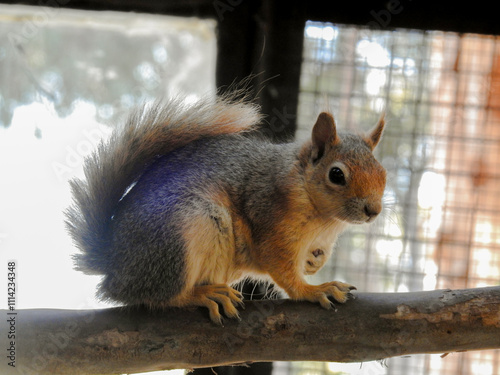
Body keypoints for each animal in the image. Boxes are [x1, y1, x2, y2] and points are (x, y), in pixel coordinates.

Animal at [65, 93, 386, 324]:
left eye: (382, 172)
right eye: (336, 175)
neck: (325, 220)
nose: (374, 211)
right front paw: (314, 289)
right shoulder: (271, 220)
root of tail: (114, 265)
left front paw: (313, 263)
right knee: (162, 296)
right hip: (186, 230)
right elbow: (283, 272)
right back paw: (203, 294)